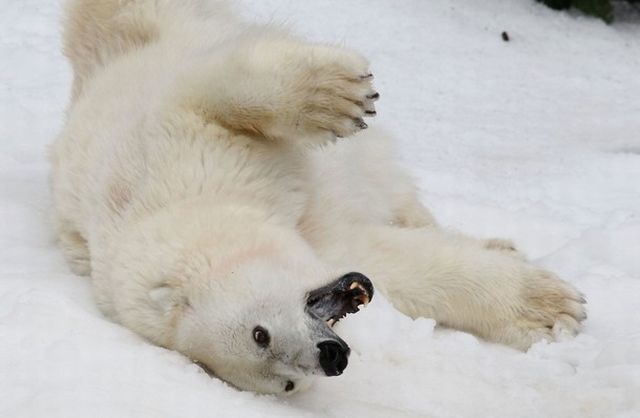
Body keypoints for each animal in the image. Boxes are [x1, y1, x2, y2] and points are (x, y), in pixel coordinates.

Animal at [50, 0, 586, 394]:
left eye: (259, 333)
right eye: (284, 384)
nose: (331, 357)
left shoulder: (170, 151)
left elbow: (209, 94)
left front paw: (337, 96)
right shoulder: (324, 246)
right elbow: (400, 267)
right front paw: (550, 309)